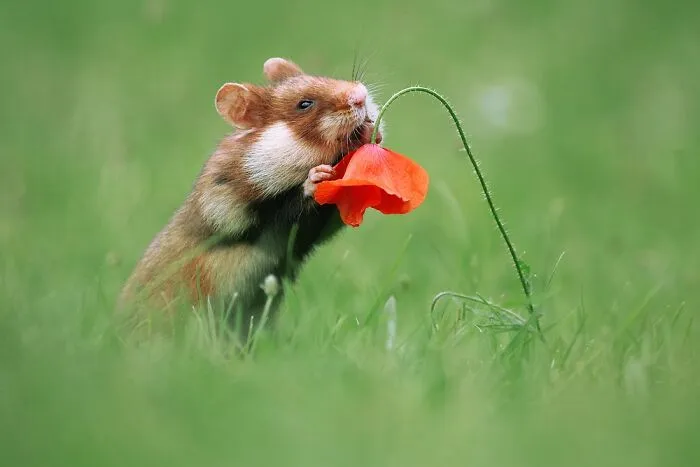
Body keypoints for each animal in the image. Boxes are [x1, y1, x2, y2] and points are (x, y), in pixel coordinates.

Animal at [119, 57, 383, 330]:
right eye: (304, 104)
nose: (361, 96)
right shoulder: (241, 218)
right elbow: (287, 212)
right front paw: (316, 178)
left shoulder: (311, 234)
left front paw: (372, 134)